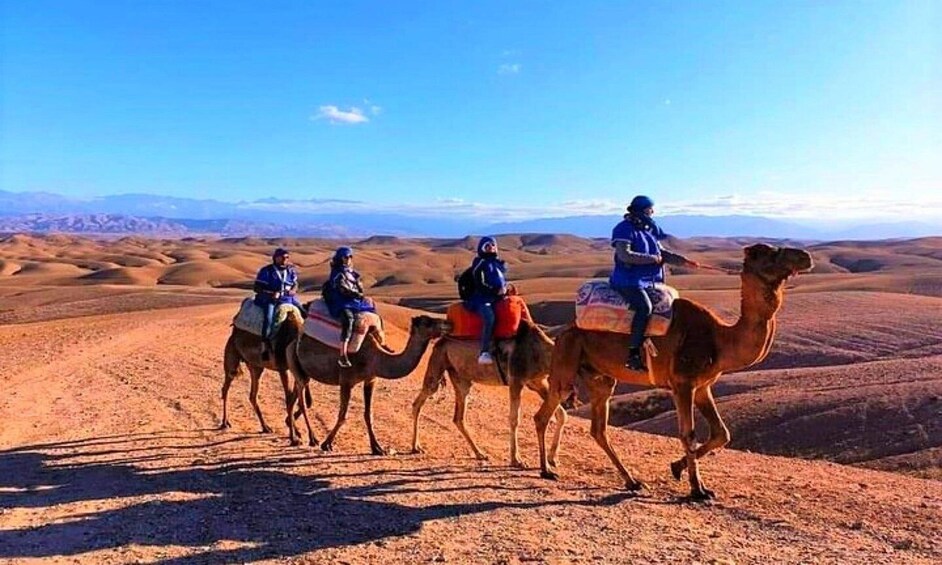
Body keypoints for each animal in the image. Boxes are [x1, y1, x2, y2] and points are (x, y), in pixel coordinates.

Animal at [221, 306, 310, 434]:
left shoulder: (296, 370)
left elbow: (296, 397)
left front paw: (291, 424)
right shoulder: (283, 369)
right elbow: (289, 397)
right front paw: (295, 431)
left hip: (256, 366)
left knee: (252, 395)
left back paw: (265, 427)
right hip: (232, 357)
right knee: (226, 388)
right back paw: (224, 422)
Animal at [288, 316, 450, 456]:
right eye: (427, 322)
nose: (447, 324)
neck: (375, 358)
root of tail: (293, 341)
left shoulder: (370, 380)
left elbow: (368, 415)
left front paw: (377, 448)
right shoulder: (346, 381)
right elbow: (343, 415)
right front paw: (326, 443)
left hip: (303, 372)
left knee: (293, 397)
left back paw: (294, 434)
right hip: (295, 362)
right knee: (301, 401)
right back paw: (311, 438)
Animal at [412, 318, 568, 468]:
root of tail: (440, 340)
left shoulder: (538, 382)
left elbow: (562, 414)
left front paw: (553, 459)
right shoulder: (516, 380)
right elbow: (514, 419)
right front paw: (517, 460)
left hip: (460, 377)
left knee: (459, 417)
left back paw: (479, 453)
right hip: (438, 359)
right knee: (421, 399)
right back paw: (415, 447)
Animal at [536, 242, 816, 498]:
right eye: (770, 252)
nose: (805, 256)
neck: (720, 339)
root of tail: (566, 330)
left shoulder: (703, 386)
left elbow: (721, 433)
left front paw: (677, 468)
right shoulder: (683, 383)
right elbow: (688, 434)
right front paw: (697, 489)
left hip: (600, 376)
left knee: (598, 428)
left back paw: (632, 481)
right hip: (566, 360)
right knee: (544, 414)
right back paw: (546, 470)